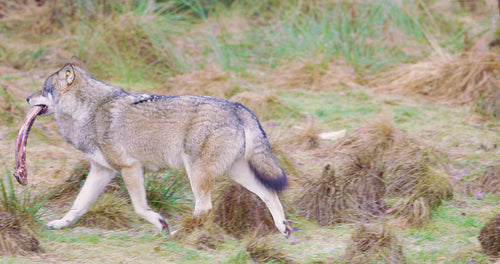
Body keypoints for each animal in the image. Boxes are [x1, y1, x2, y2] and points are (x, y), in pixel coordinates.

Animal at [26, 56, 292, 237]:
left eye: (43, 90)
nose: (27, 98)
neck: (88, 111)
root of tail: (239, 107)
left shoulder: (130, 168)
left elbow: (139, 208)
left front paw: (161, 223)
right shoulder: (102, 171)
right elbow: (78, 206)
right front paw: (61, 223)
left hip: (196, 173)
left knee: (204, 207)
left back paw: (180, 234)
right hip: (235, 172)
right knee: (269, 193)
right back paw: (283, 228)